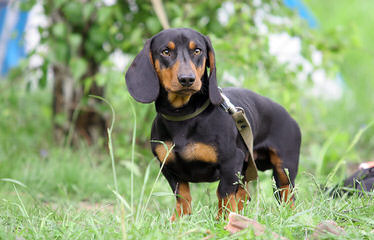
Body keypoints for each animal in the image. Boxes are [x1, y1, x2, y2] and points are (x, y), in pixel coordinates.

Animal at [125, 27, 300, 219]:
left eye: (197, 50)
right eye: (165, 51)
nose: (187, 79)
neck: (184, 116)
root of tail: (290, 117)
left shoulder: (231, 162)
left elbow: (223, 193)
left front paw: (223, 219)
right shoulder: (168, 167)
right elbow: (182, 196)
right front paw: (179, 219)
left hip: (283, 169)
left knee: (286, 193)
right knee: (243, 194)